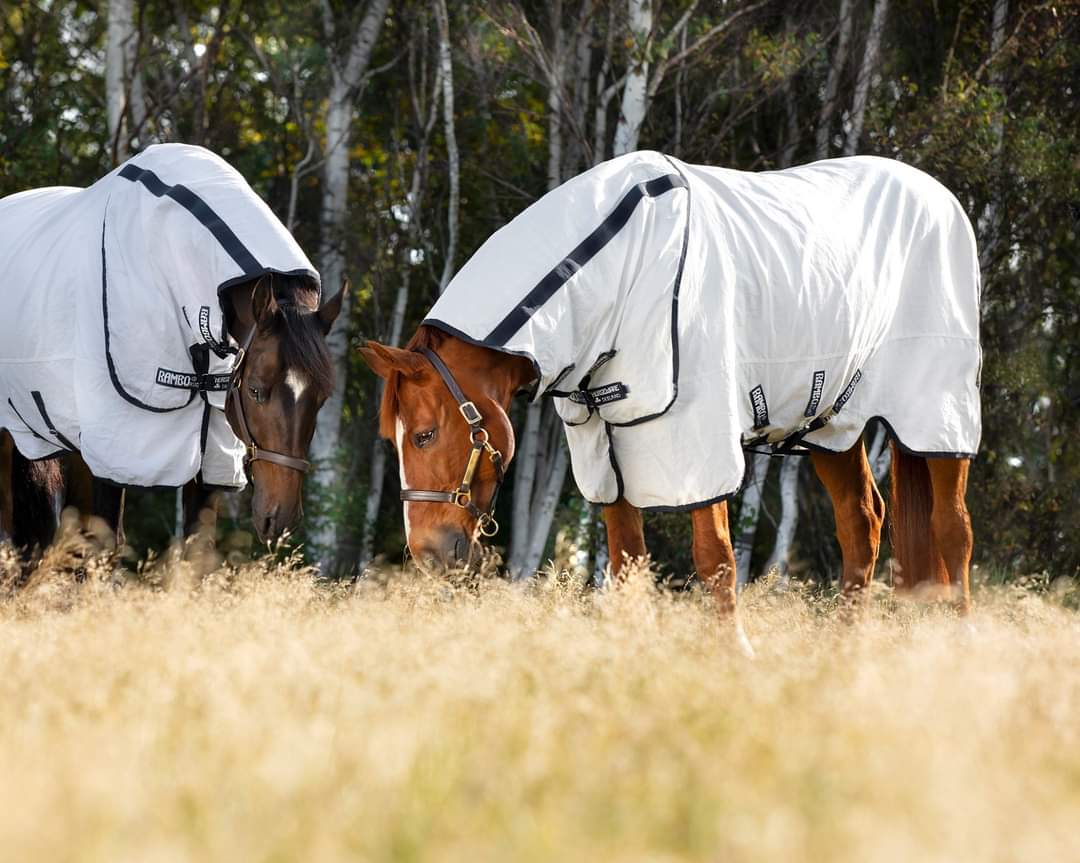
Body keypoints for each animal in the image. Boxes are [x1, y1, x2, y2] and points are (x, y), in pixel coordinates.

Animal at [362, 324, 980, 626]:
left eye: (423, 435)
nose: (428, 553)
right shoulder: (606, 452)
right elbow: (628, 563)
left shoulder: (697, 441)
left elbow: (714, 559)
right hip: (832, 426)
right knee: (863, 521)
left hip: (938, 419)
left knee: (953, 529)